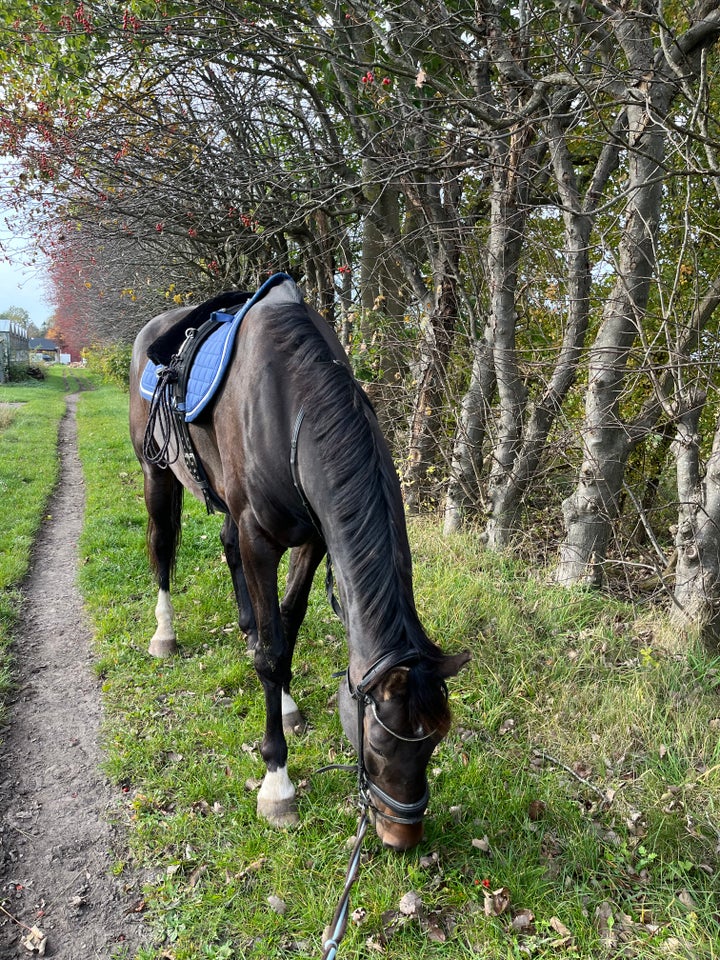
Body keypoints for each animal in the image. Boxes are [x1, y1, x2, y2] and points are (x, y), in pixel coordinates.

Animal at [128, 276, 466, 848]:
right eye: (379, 743)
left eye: (434, 741)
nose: (401, 837)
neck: (291, 410)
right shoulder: (260, 538)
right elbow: (271, 653)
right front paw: (276, 784)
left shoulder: (313, 539)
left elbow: (287, 623)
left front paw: (285, 705)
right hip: (158, 476)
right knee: (163, 550)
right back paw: (164, 633)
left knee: (226, 549)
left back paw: (244, 625)